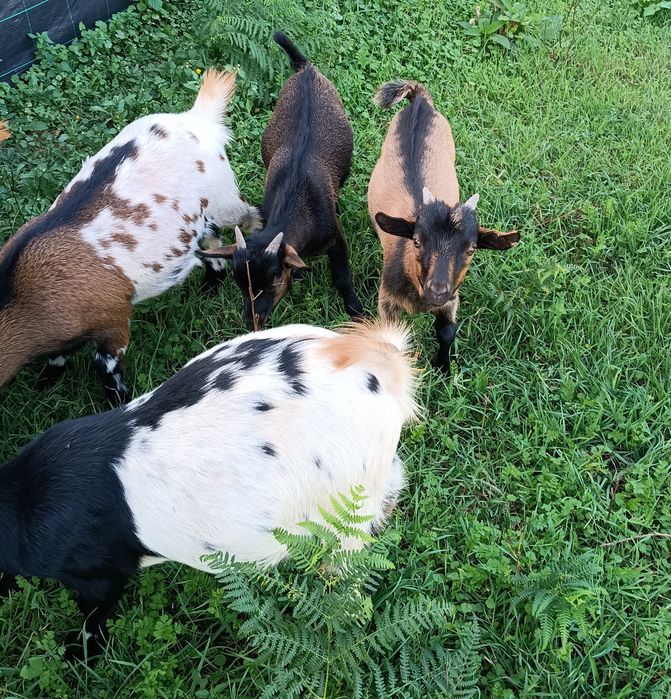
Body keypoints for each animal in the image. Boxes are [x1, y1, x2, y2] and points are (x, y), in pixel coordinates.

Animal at [0, 71, 259, 402]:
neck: (18, 291)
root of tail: (196, 119)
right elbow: (58, 356)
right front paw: (46, 383)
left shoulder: (113, 318)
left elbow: (106, 367)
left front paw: (119, 401)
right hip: (199, 217)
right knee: (210, 242)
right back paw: (209, 289)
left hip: (224, 198)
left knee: (250, 218)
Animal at [198, 32, 363, 330]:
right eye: (241, 285)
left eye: (273, 278)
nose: (253, 321)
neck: (296, 202)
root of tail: (306, 70)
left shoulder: (335, 237)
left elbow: (341, 275)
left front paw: (356, 311)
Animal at [368, 80, 520, 373]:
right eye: (416, 241)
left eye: (472, 249)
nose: (437, 289)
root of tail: (420, 102)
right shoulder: (387, 301)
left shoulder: (451, 300)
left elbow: (447, 332)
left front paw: (444, 369)